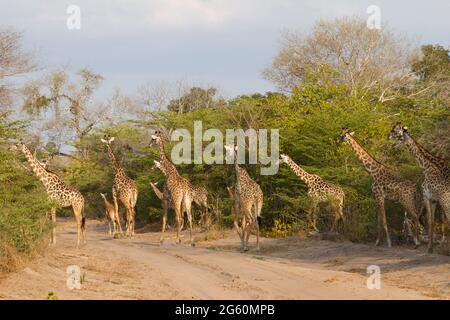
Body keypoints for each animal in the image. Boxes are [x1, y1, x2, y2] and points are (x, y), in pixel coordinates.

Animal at [388, 123, 448, 252]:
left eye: (397, 132)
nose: (389, 136)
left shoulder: (428, 196)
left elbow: (432, 221)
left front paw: (432, 246)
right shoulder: (434, 199)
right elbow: (432, 221)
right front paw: (434, 243)